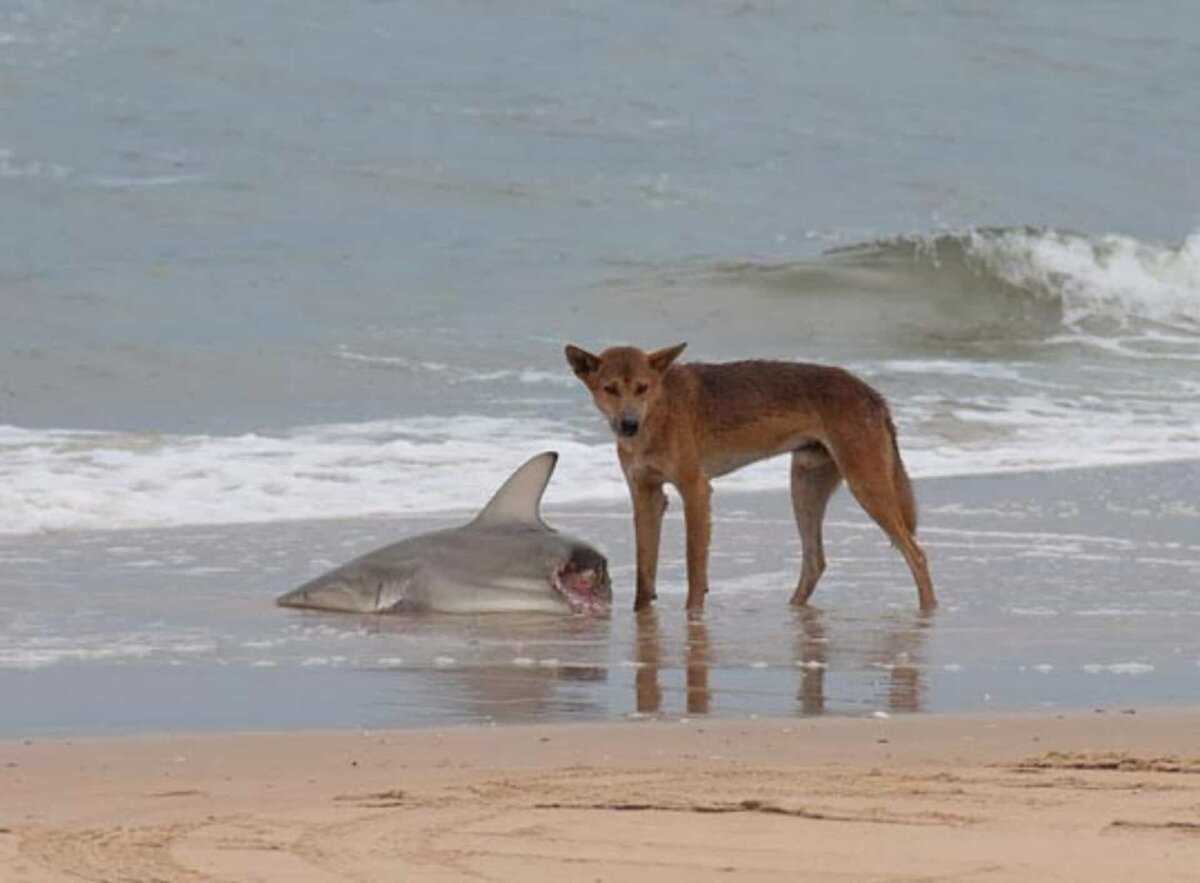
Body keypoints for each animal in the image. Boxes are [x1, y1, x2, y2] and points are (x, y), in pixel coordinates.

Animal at [564, 345, 936, 614]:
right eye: (610, 389)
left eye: (642, 388)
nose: (628, 424)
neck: (659, 412)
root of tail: (873, 395)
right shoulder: (646, 495)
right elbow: (645, 570)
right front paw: (641, 613)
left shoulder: (695, 489)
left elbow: (694, 568)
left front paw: (693, 617)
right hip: (805, 487)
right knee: (815, 561)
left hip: (866, 487)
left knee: (916, 555)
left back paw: (928, 612)